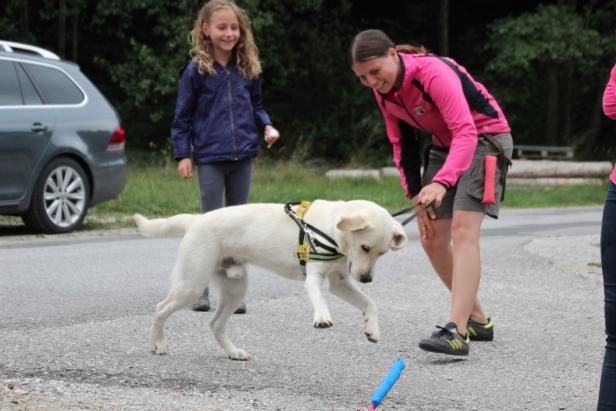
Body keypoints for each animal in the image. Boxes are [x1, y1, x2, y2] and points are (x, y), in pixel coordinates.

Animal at [136, 201, 410, 362]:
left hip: (235, 290)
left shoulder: (339, 282)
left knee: (215, 325)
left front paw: (372, 328)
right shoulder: (314, 277)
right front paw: (322, 317)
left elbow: (370, 303)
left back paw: (233, 352)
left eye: (382, 252)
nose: (366, 278)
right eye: (365, 247)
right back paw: (157, 344)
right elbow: (319, 298)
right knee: (160, 309)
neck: (331, 228)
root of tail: (195, 219)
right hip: (192, 285)